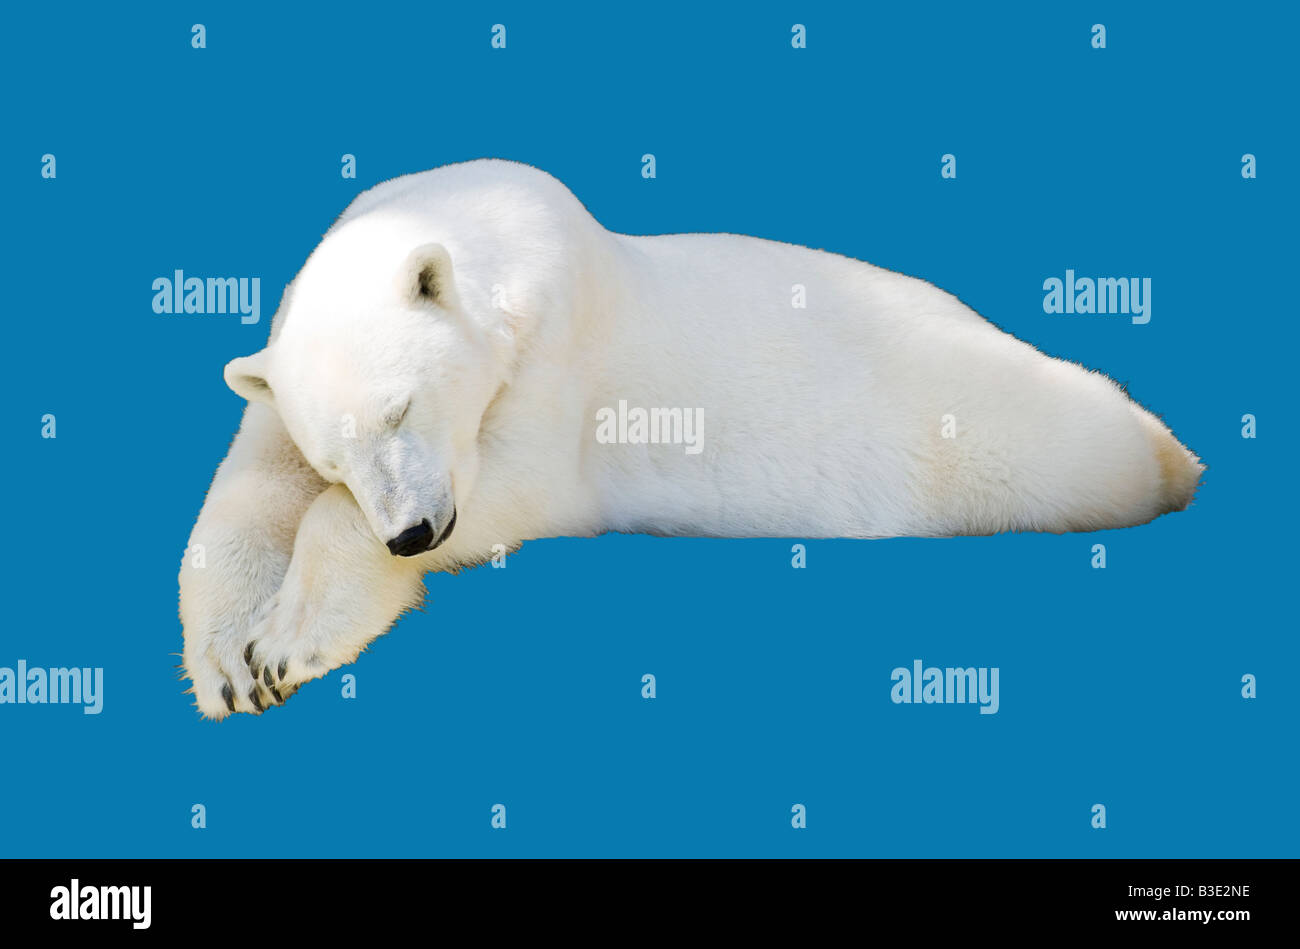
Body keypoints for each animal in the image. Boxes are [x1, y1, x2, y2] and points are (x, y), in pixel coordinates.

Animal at [179, 158, 1203, 719]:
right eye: (335, 454)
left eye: (401, 409)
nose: (411, 532)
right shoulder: (283, 388)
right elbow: (253, 488)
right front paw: (234, 662)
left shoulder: (563, 358)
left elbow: (522, 484)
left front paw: (290, 641)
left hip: (978, 424)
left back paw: (1172, 458)